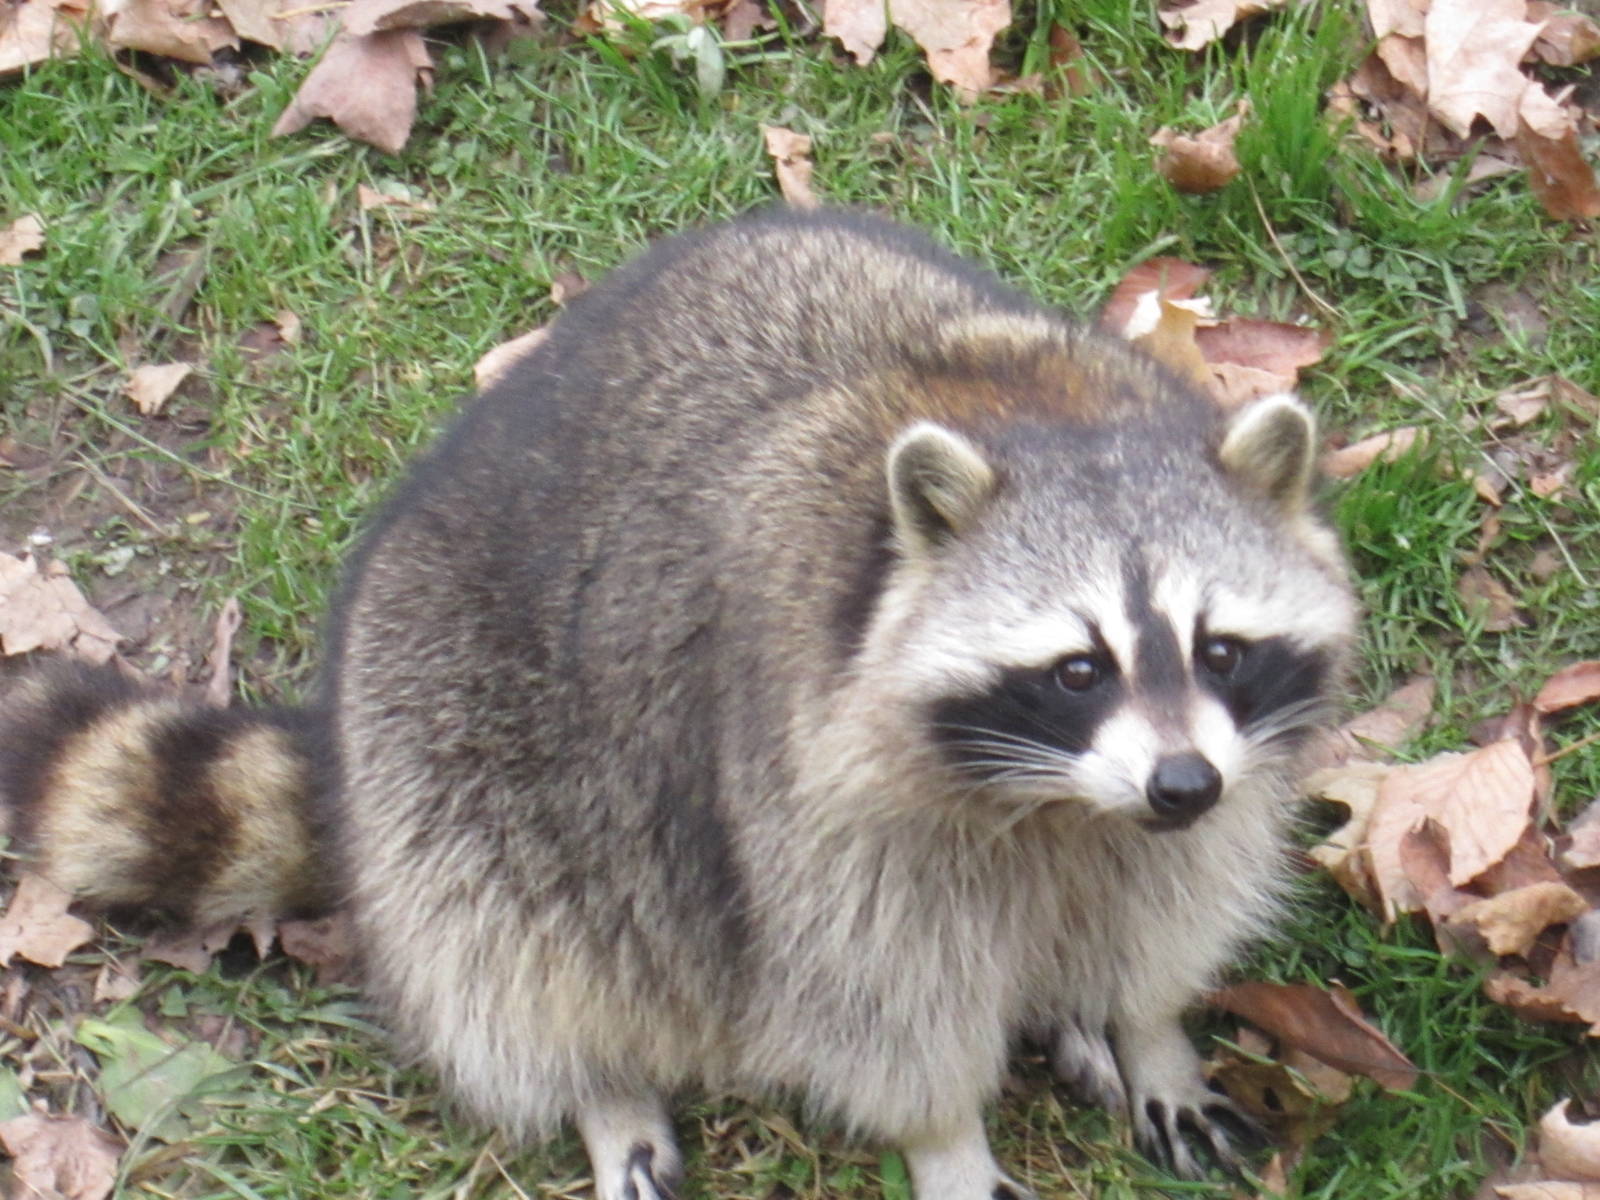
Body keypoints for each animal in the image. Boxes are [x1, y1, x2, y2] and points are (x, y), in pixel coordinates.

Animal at [0, 210, 1356, 1200]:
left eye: (1221, 649)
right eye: (1078, 668)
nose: (1179, 785)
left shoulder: (1207, 786)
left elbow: (1162, 910)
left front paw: (1146, 1027)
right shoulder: (805, 798)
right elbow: (876, 999)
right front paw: (948, 1141)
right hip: (437, 736)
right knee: (513, 945)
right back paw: (600, 1083)